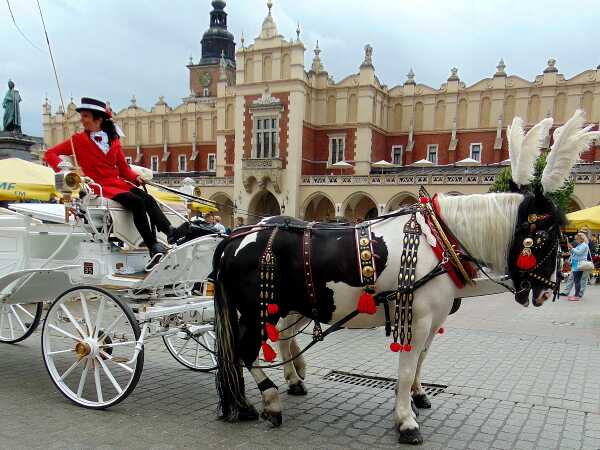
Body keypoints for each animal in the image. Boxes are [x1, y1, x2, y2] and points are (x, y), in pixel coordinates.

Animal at [210, 111, 596, 442]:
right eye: (544, 237)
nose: (547, 292)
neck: (439, 240)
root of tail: (236, 236)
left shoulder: (434, 318)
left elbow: (421, 360)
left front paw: (416, 398)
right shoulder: (417, 317)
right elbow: (408, 365)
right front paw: (406, 421)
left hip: (286, 307)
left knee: (275, 342)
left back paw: (278, 388)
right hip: (256, 311)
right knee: (244, 352)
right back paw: (269, 401)